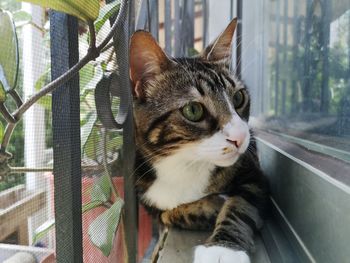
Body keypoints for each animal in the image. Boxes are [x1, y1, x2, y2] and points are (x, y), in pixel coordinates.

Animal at [130, 19, 270, 263]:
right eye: (193, 110)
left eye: (238, 97)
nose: (241, 137)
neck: (185, 166)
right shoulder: (147, 195)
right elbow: (168, 214)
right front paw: (211, 207)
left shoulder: (254, 175)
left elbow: (240, 205)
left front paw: (224, 249)